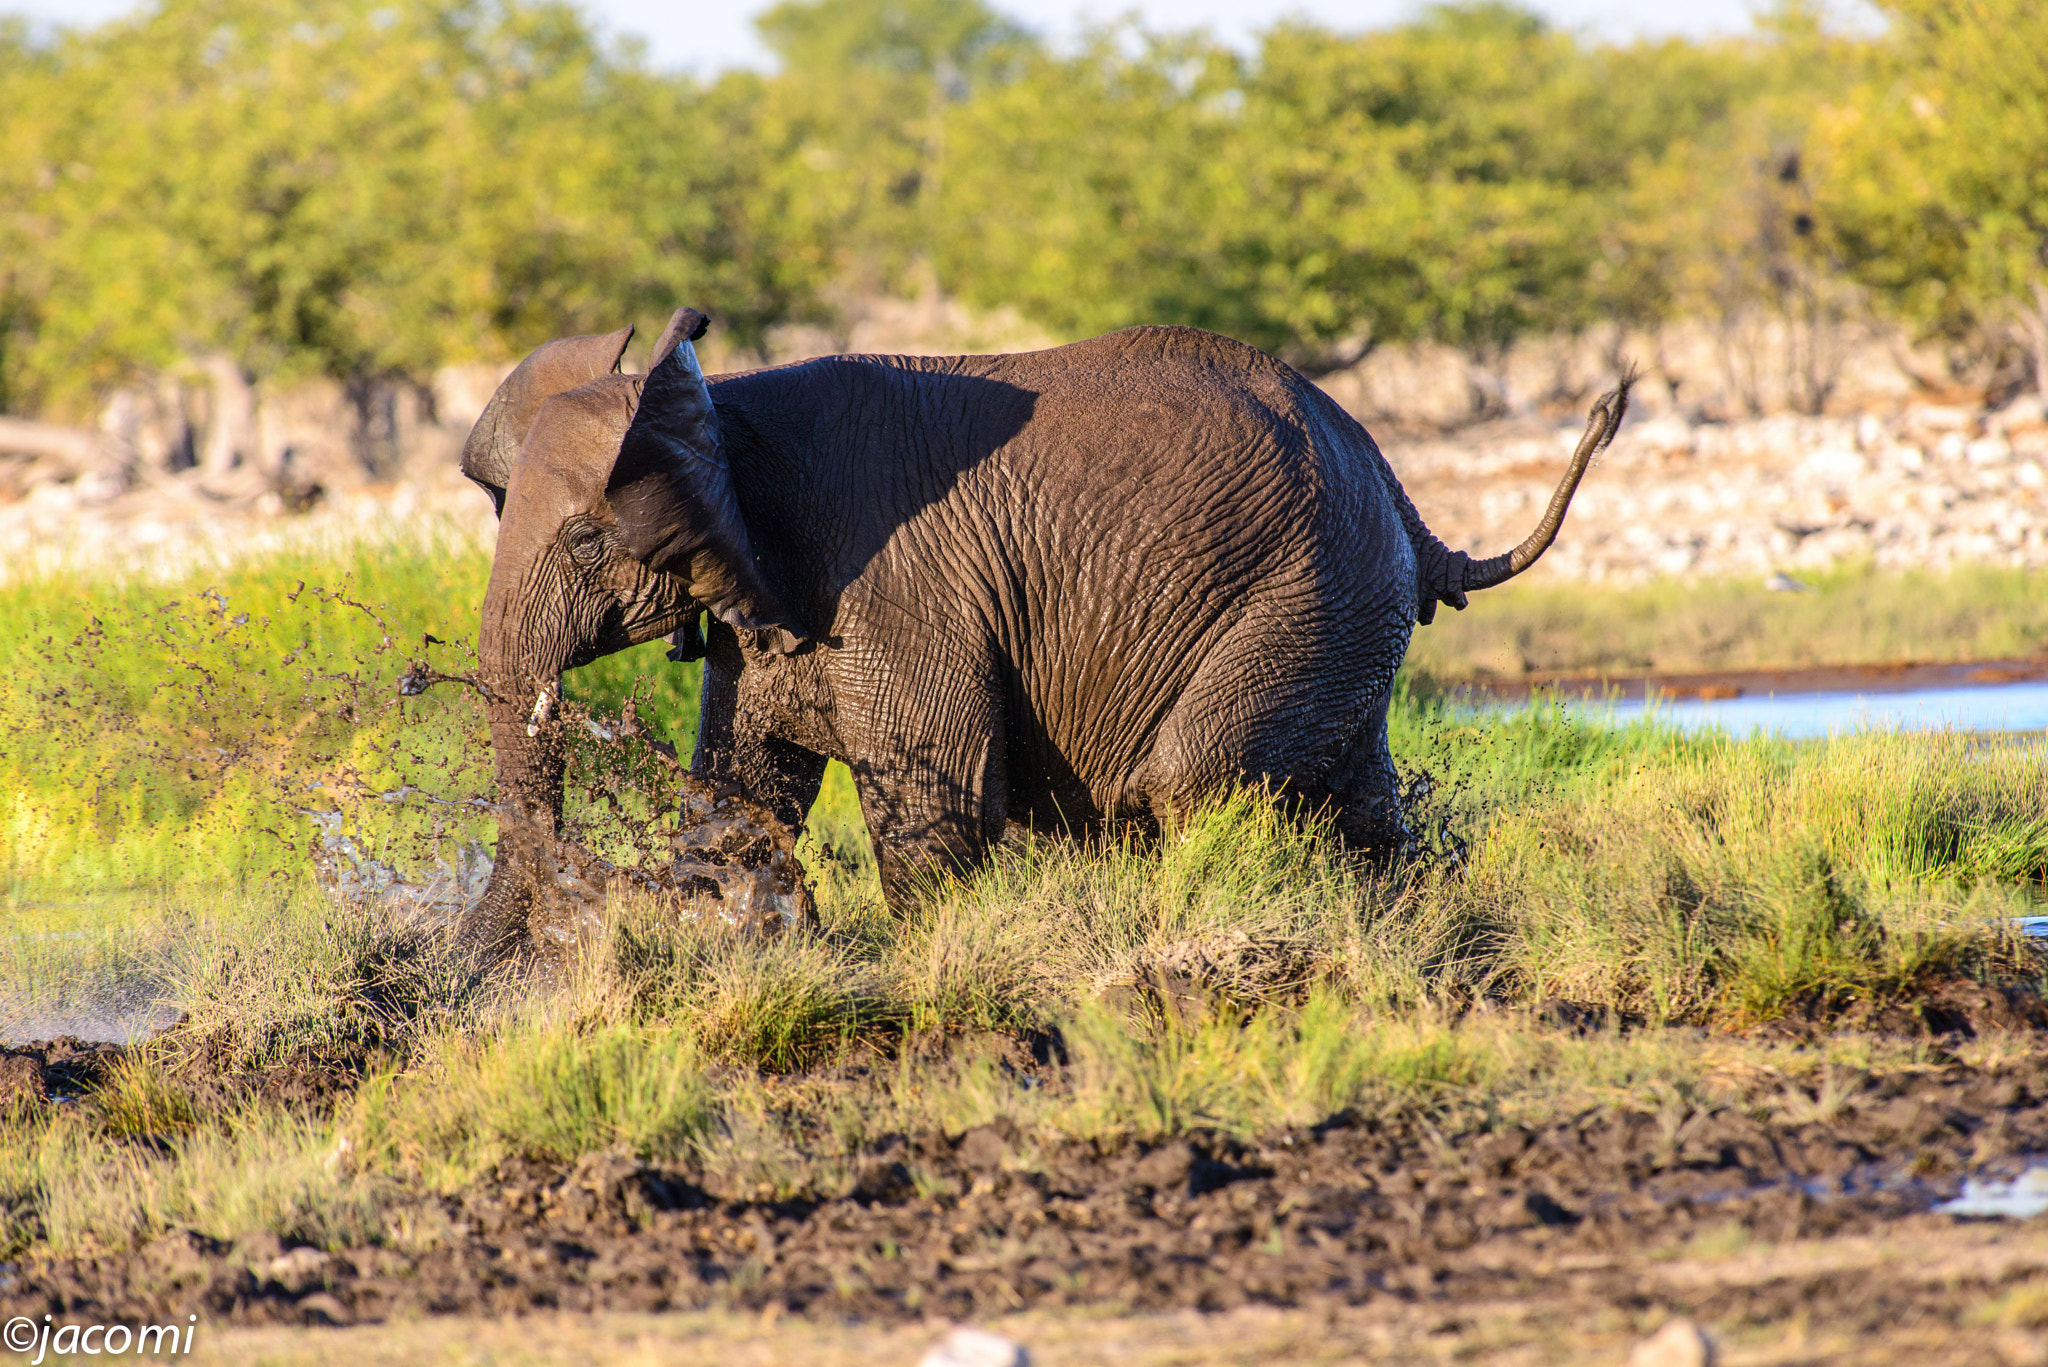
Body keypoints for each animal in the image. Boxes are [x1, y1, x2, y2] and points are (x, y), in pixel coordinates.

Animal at [452, 305, 1630, 959]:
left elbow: (934, 800)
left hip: (1308, 595)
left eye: (586, 540)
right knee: (1359, 802)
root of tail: (1393, 482)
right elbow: (740, 788)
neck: (719, 400)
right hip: (1347, 613)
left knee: (1196, 784)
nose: (492, 964)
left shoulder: (898, 581)